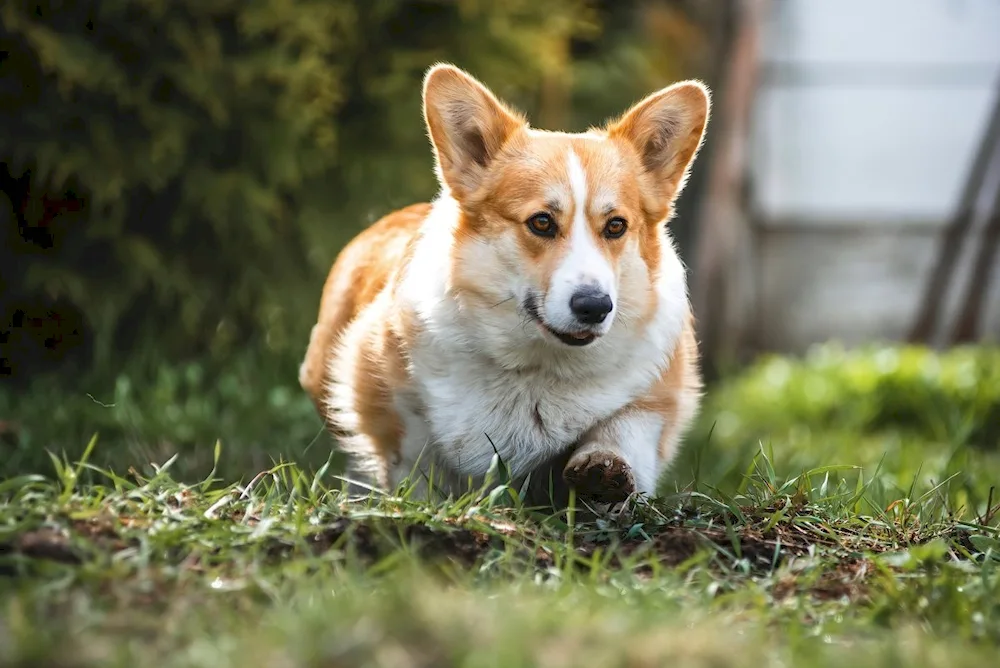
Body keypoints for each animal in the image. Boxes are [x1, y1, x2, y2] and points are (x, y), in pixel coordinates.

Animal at [298, 65, 712, 504]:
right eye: (541, 222)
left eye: (616, 226)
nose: (595, 306)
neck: (538, 368)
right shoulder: (391, 404)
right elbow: (416, 460)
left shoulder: (654, 402)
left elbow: (623, 429)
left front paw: (603, 472)